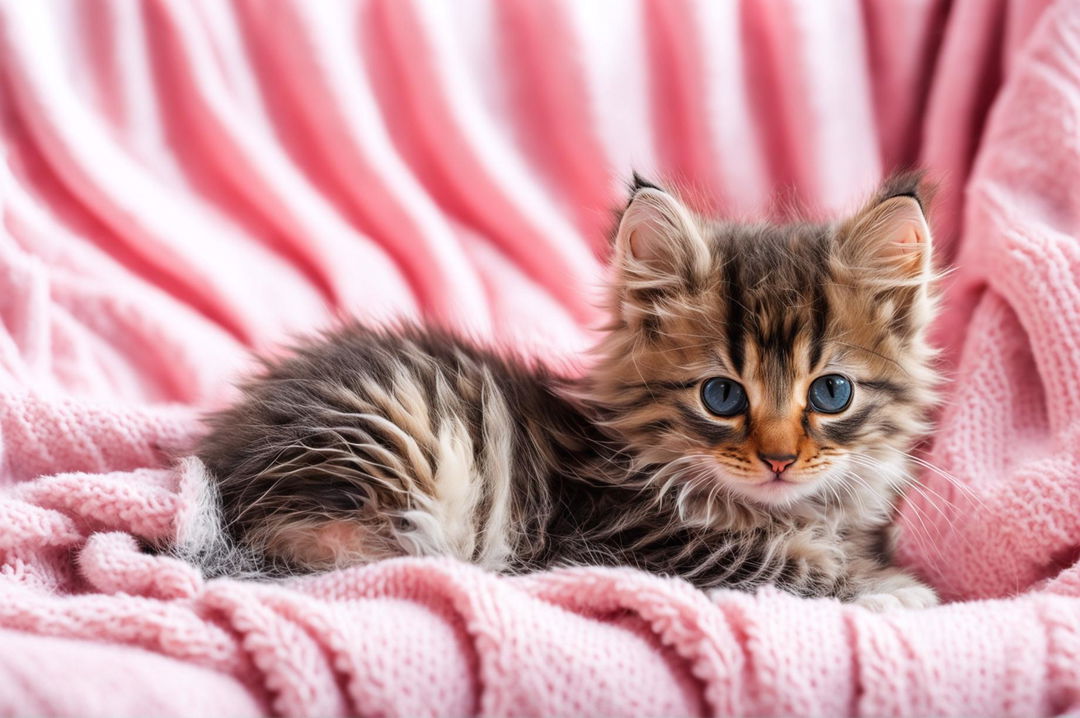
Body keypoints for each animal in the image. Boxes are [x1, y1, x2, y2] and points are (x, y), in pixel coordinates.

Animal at [190, 170, 941, 608]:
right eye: (723, 398)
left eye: (832, 393)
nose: (780, 460)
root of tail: (230, 459)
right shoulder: (619, 540)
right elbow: (770, 562)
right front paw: (892, 588)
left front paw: (875, 566)